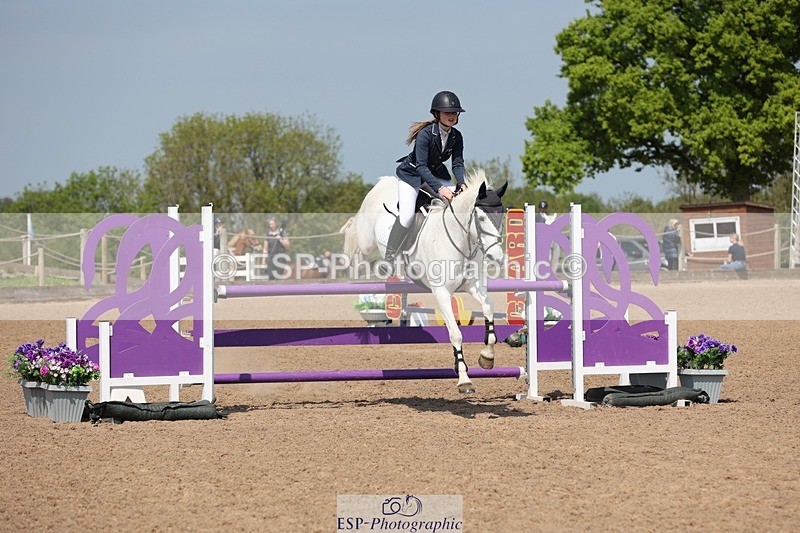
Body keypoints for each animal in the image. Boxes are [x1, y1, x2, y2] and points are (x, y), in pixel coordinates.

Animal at [343, 169, 508, 393]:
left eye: (503, 215)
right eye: (481, 218)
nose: (496, 257)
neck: (458, 240)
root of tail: (384, 181)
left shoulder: (473, 286)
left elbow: (488, 307)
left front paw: (487, 357)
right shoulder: (442, 292)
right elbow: (456, 334)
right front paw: (464, 379)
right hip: (366, 239)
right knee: (354, 235)